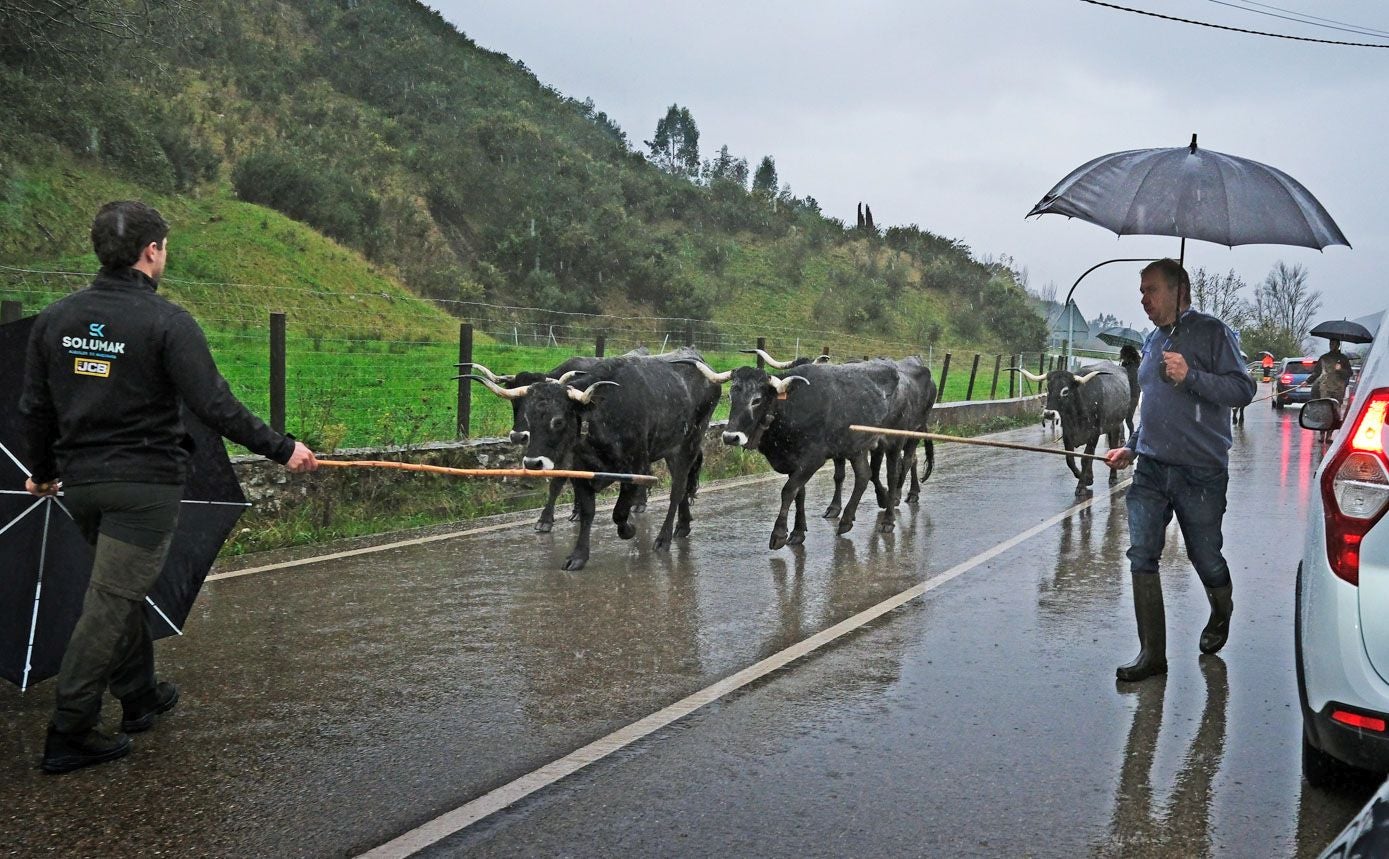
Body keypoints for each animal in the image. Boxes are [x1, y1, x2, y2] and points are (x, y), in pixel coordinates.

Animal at [469, 347, 722, 569]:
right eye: (526, 415)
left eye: (558, 421)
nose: (532, 463)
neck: (602, 413)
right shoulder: (579, 469)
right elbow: (587, 509)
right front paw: (578, 556)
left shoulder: (635, 467)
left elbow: (619, 511)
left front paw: (628, 529)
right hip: (670, 449)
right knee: (683, 487)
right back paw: (683, 525)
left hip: (689, 444)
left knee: (677, 489)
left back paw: (663, 538)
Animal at [691, 355, 905, 547]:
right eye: (731, 396)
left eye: (756, 400)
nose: (730, 437)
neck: (790, 408)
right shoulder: (793, 462)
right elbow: (799, 493)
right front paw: (797, 532)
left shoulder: (812, 460)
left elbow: (788, 491)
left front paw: (778, 534)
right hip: (855, 448)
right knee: (863, 475)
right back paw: (846, 520)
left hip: (894, 441)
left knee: (893, 475)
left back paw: (888, 519)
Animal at [1016, 361, 1133, 494]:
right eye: (1047, 389)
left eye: (1065, 391)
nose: (1049, 414)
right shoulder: (1068, 434)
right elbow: (1070, 459)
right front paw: (1084, 478)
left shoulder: (1094, 434)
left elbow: (1085, 459)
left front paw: (1081, 486)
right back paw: (1090, 476)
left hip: (1115, 426)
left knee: (1113, 448)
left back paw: (1112, 477)